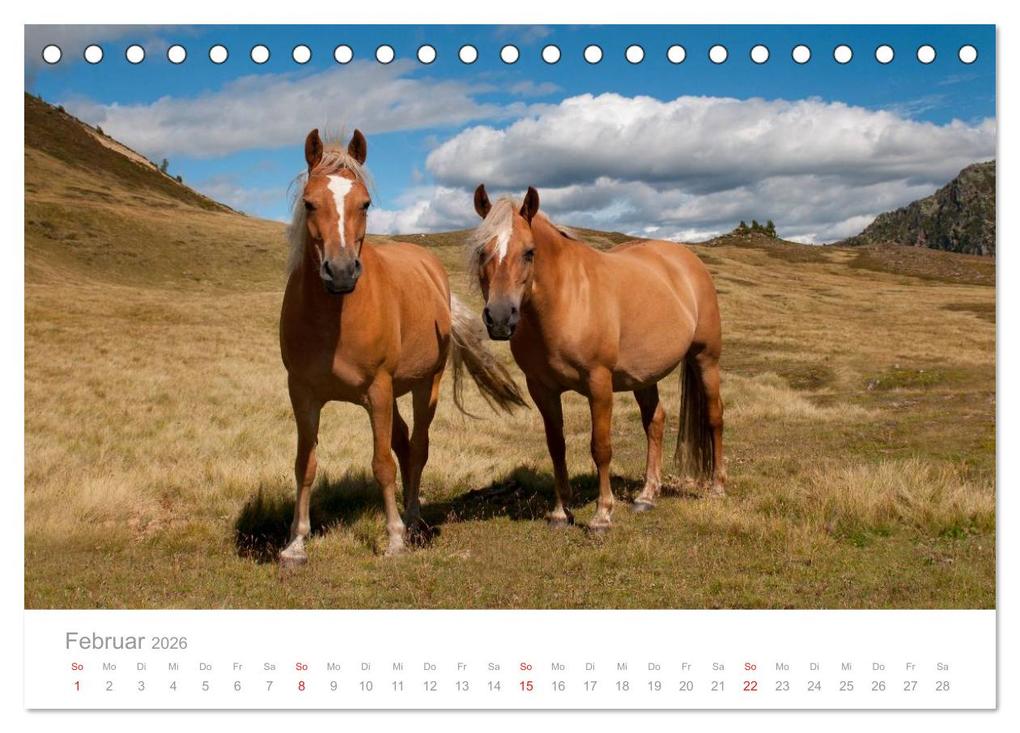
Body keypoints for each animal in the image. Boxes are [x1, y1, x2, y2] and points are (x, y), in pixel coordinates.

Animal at [278, 129, 525, 565]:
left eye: (365, 203)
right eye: (309, 203)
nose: (341, 272)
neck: (333, 323)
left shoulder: (377, 390)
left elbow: (382, 464)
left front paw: (393, 538)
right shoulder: (302, 394)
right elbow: (305, 465)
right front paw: (296, 542)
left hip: (426, 386)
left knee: (418, 445)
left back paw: (411, 518)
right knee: (405, 442)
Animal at [467, 185, 725, 533]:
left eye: (529, 252)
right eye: (482, 251)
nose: (499, 318)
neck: (566, 300)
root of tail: (688, 261)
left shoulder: (599, 384)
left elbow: (600, 447)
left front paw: (602, 515)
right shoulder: (542, 389)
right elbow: (556, 446)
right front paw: (560, 512)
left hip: (705, 359)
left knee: (714, 417)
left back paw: (717, 487)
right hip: (643, 376)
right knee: (655, 422)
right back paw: (647, 495)